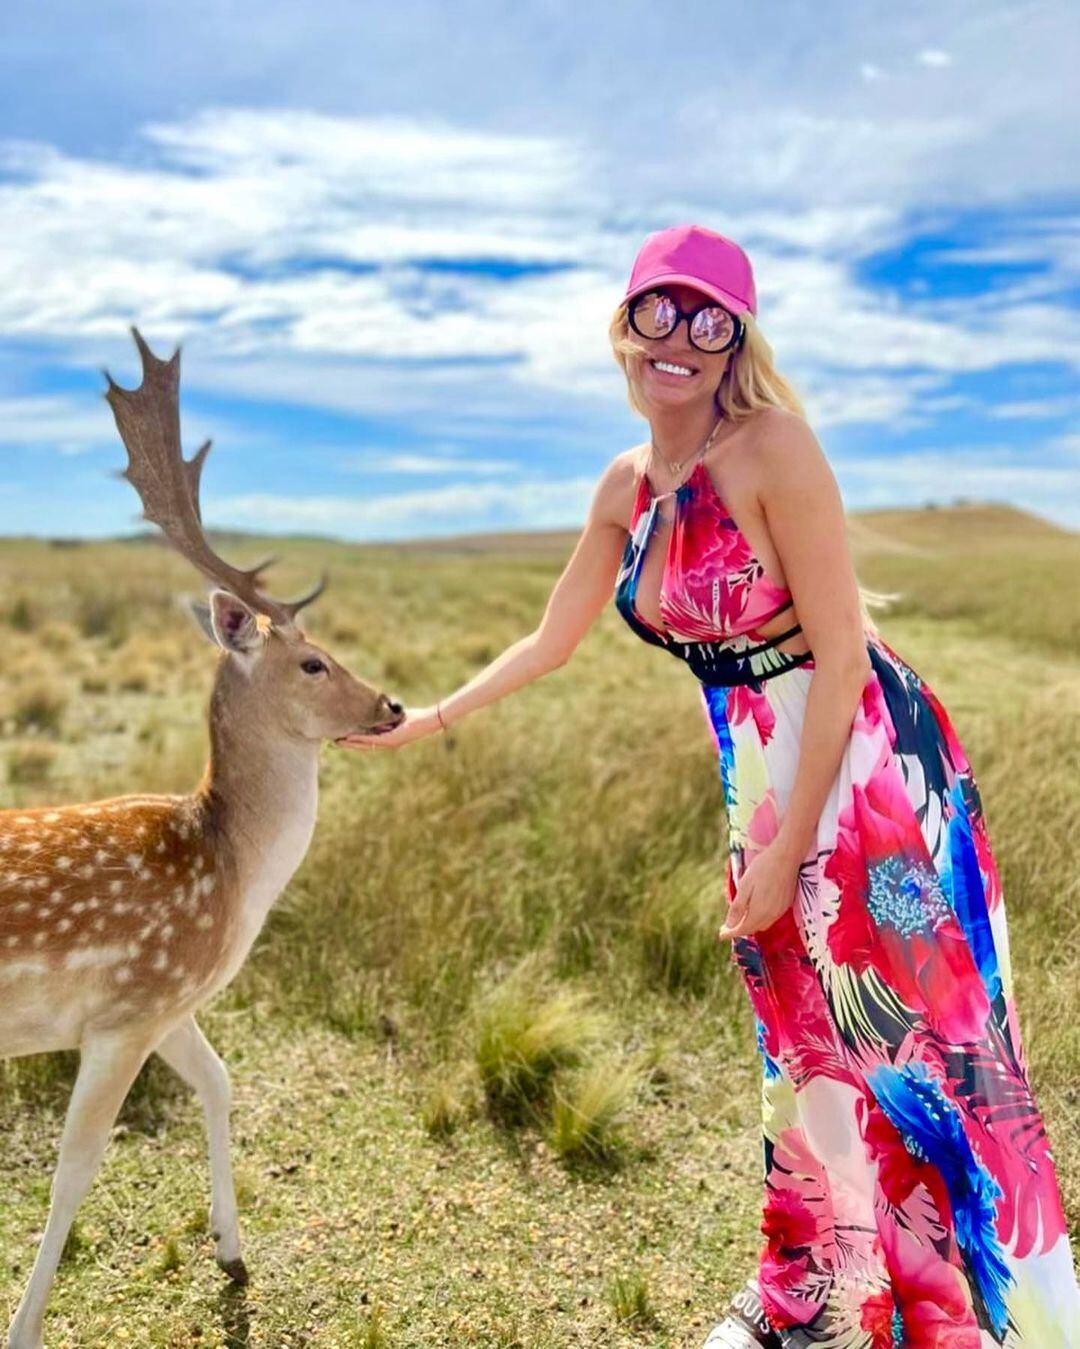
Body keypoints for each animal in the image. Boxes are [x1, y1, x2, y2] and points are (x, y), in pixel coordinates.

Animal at [1, 326, 404, 1349]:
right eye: (313, 661)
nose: (391, 704)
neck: (228, 881)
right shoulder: (126, 1006)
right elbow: (70, 1172)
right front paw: (24, 1325)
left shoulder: (171, 1001)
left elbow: (221, 1082)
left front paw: (232, 1251)